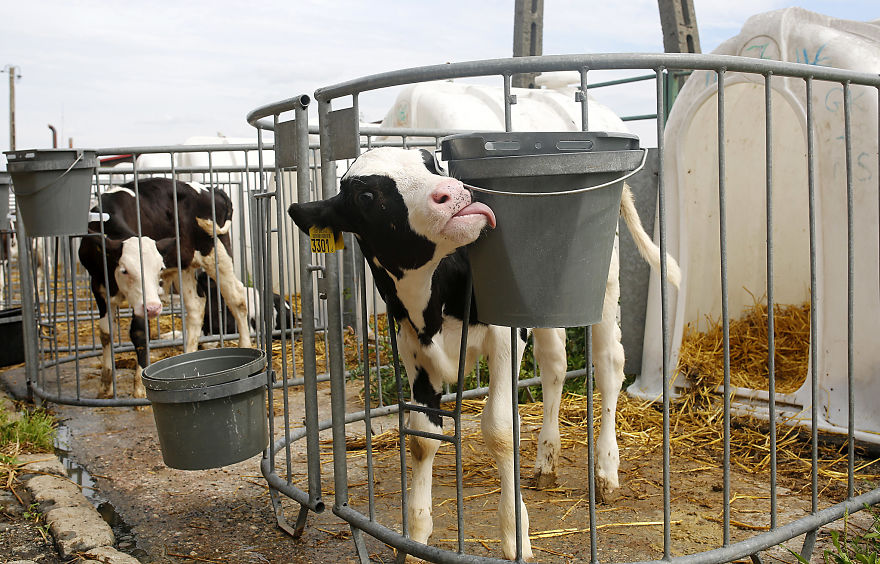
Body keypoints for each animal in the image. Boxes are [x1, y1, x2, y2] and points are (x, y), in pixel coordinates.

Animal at [78, 178, 252, 399]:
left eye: (159, 269)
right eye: (125, 270)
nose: (153, 308)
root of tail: (211, 189)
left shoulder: (143, 300)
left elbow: (139, 332)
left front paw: (139, 387)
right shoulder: (98, 287)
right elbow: (106, 333)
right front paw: (106, 385)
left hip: (217, 252)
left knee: (237, 299)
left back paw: (245, 345)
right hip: (185, 266)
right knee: (196, 306)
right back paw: (189, 355)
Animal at [288, 147, 680, 560]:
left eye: (431, 163)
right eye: (366, 196)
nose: (450, 191)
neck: (430, 300)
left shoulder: (506, 333)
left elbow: (500, 429)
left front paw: (515, 535)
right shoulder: (414, 350)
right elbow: (422, 437)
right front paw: (416, 534)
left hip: (600, 283)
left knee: (608, 366)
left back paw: (606, 471)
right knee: (554, 363)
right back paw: (546, 460)